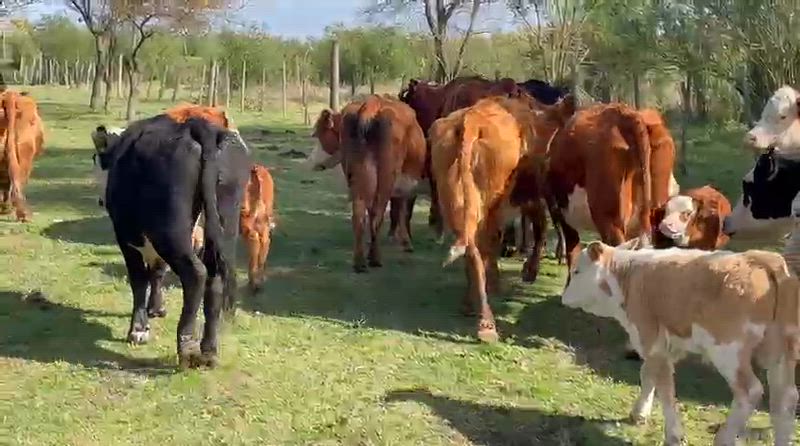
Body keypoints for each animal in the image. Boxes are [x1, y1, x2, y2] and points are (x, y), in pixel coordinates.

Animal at [102, 113, 250, 369]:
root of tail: (196, 126)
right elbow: (157, 272)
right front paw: (156, 308)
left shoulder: (126, 238)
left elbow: (139, 280)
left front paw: (138, 329)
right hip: (224, 223)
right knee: (215, 278)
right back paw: (209, 350)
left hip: (171, 232)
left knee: (196, 273)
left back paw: (188, 348)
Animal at [431, 93, 572, 342]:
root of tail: (471, 120)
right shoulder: (532, 194)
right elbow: (540, 226)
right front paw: (529, 271)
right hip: (491, 203)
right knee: (485, 245)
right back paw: (486, 320)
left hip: (456, 201)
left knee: (472, 249)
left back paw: (472, 306)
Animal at [562, 241, 800, 446]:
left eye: (577, 271)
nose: (564, 298)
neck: (628, 276)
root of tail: (761, 259)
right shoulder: (662, 344)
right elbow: (648, 375)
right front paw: (639, 413)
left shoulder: (650, 338)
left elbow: (665, 388)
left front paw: (673, 434)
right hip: (781, 351)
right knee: (786, 398)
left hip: (727, 350)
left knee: (750, 390)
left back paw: (724, 438)